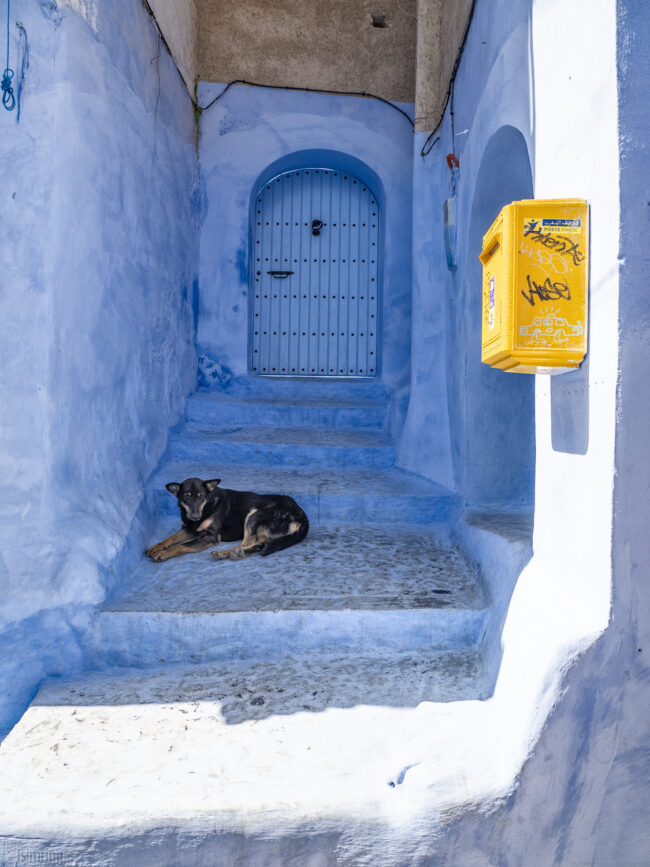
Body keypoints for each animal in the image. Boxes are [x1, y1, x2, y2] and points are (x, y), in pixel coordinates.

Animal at [146, 478, 308, 568]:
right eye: (186, 497)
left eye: (201, 496)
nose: (195, 517)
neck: (208, 505)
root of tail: (302, 515)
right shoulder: (189, 529)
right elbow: (170, 538)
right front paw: (156, 547)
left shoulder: (210, 537)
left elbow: (180, 545)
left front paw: (163, 553)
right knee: (259, 544)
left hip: (254, 516)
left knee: (247, 542)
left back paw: (225, 553)